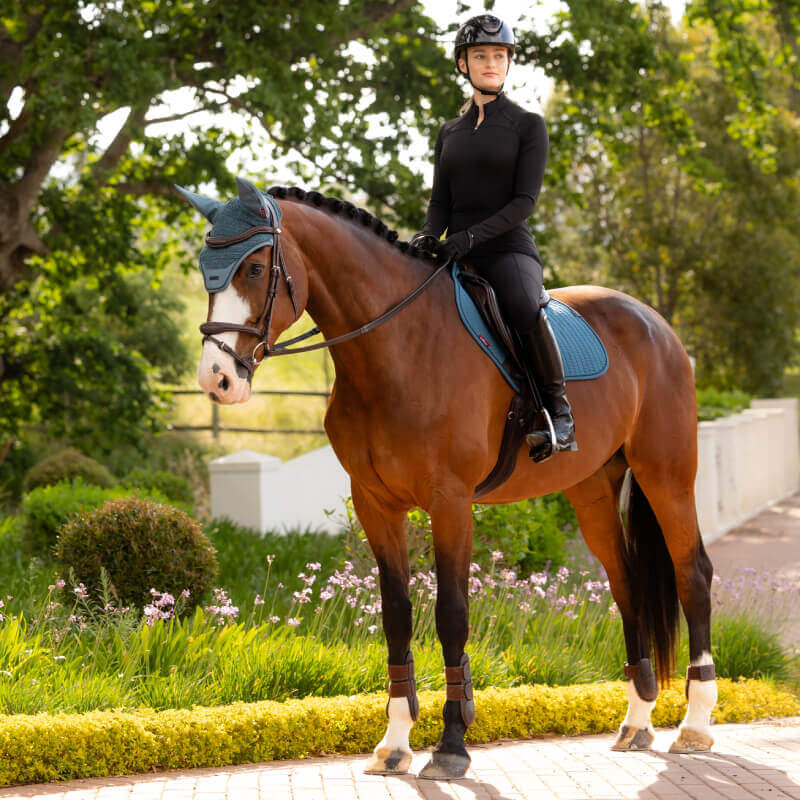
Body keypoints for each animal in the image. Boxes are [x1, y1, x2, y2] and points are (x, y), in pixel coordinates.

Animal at [177, 177, 717, 780]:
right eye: (205, 268)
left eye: (253, 268)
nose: (218, 379)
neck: (397, 348)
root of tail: (655, 323)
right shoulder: (376, 504)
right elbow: (397, 616)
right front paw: (394, 743)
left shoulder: (451, 502)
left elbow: (452, 615)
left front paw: (452, 744)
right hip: (593, 490)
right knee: (626, 582)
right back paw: (637, 720)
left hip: (666, 473)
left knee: (692, 572)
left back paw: (694, 725)